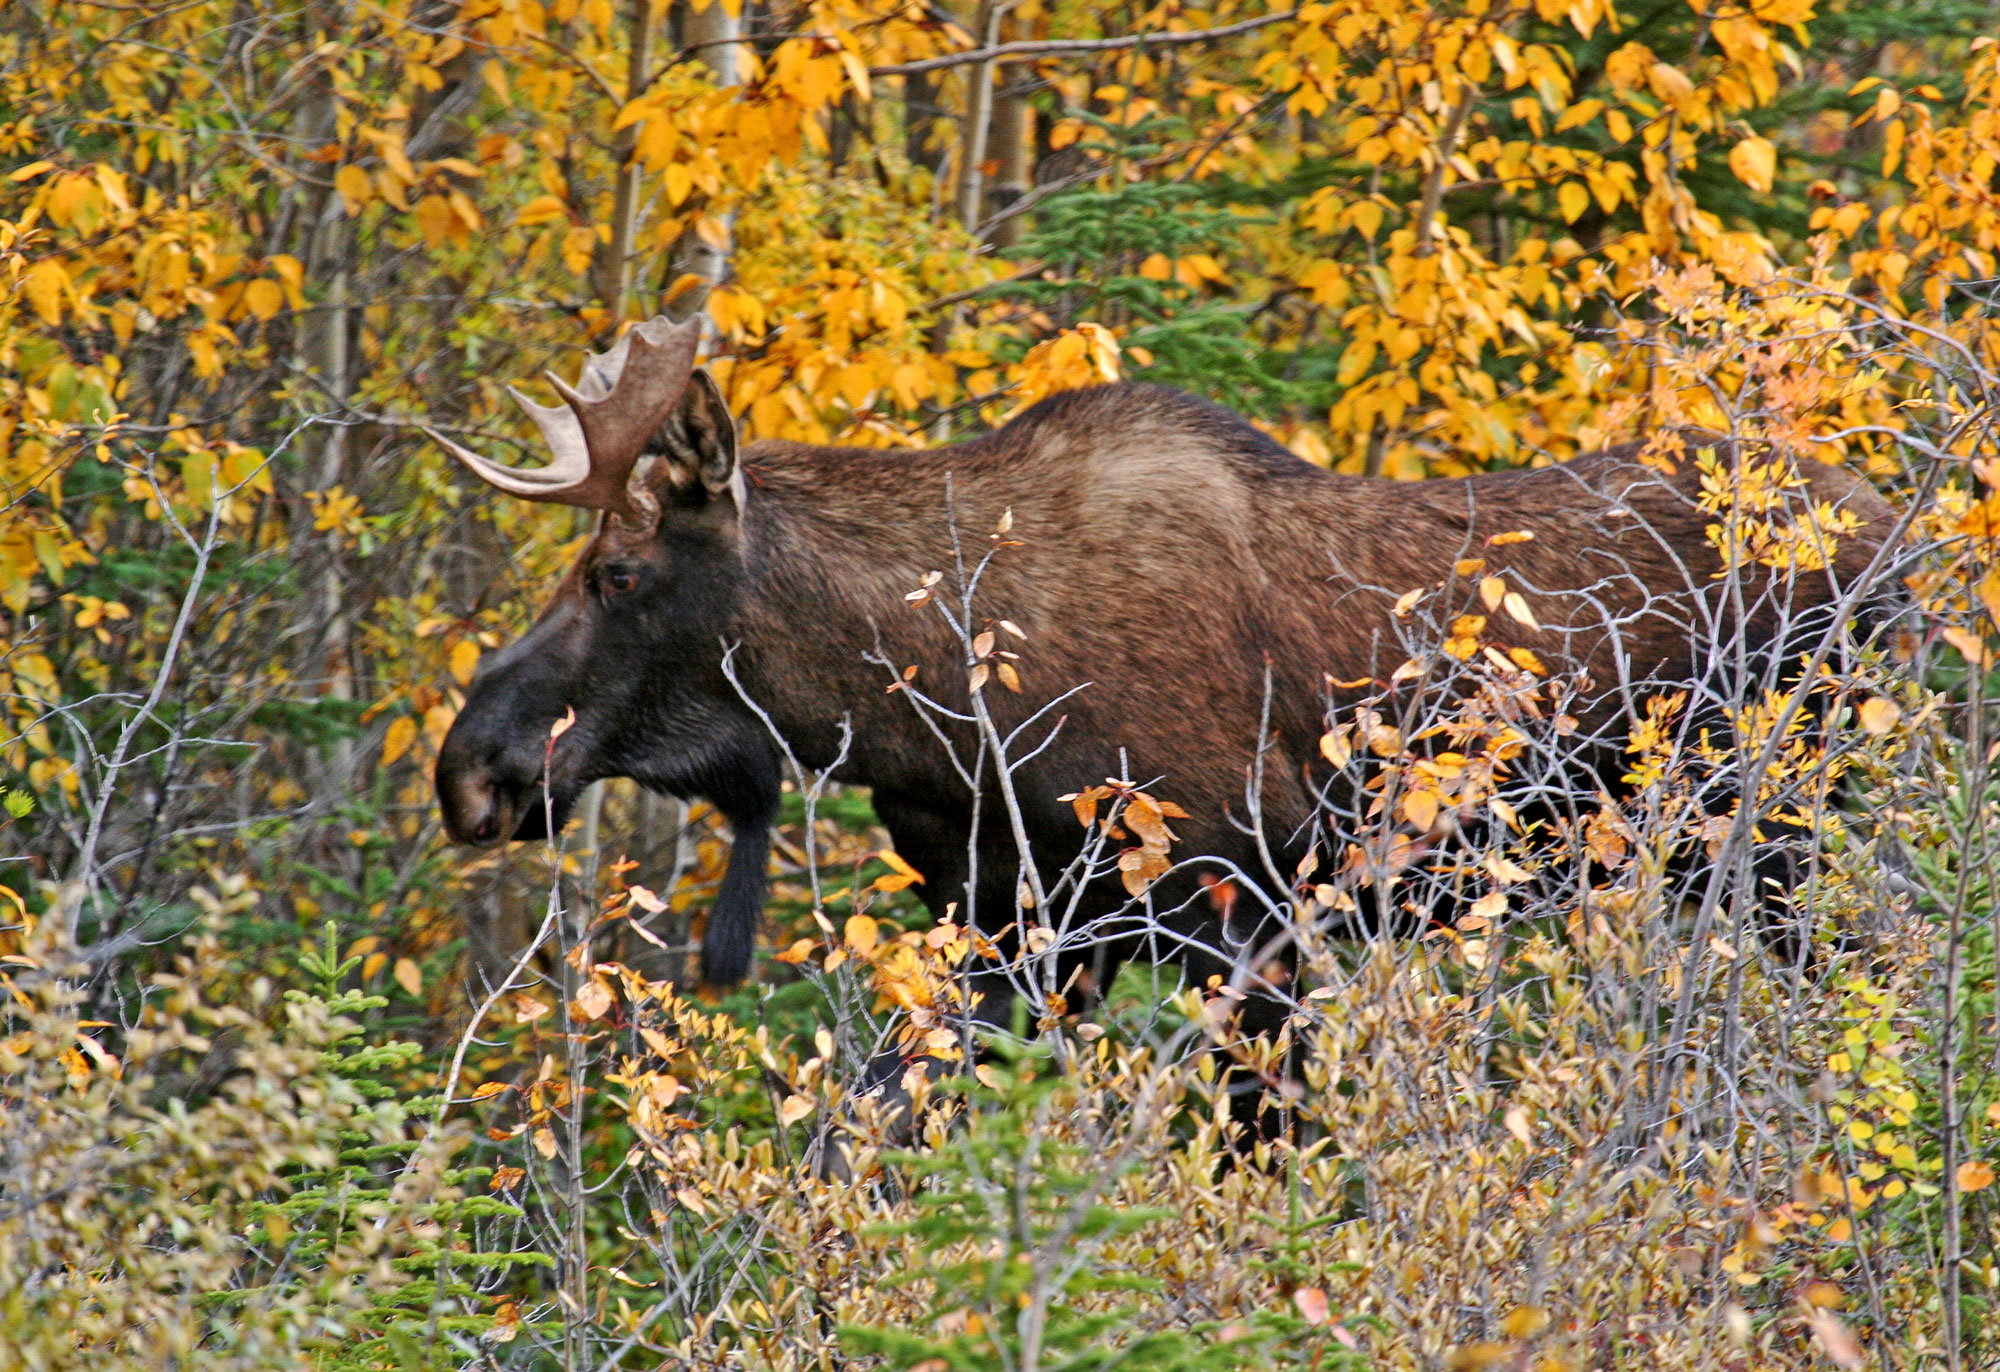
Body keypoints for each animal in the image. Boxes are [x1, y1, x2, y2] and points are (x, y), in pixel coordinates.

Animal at [432, 315, 1899, 1099]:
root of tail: (1897, 536)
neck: (931, 703)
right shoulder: (1013, 929)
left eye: (615, 572)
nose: (471, 770)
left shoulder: (1244, 917)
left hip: (1786, 829)